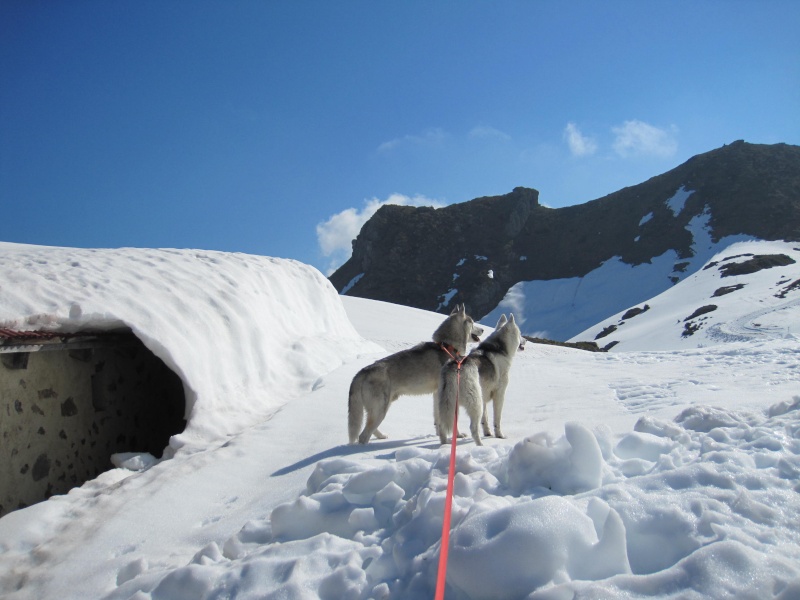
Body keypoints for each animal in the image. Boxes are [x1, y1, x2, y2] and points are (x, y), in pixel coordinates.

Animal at [348, 308, 484, 442]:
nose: (483, 329)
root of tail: (362, 371)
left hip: (380, 409)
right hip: (380, 410)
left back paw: (382, 436)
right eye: (472, 322)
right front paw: (457, 435)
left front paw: (440, 434)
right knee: (363, 436)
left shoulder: (437, 393)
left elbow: (438, 418)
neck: (448, 346)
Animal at [438, 314, 524, 446]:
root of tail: (452, 370)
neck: (499, 348)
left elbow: (485, 419)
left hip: (450, 406)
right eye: (520, 334)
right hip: (475, 403)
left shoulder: (484, 396)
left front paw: (488, 433)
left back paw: (445, 444)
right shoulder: (499, 395)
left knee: (443, 427)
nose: (526, 340)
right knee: (473, 428)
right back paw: (480, 446)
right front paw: (499, 435)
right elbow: (497, 419)